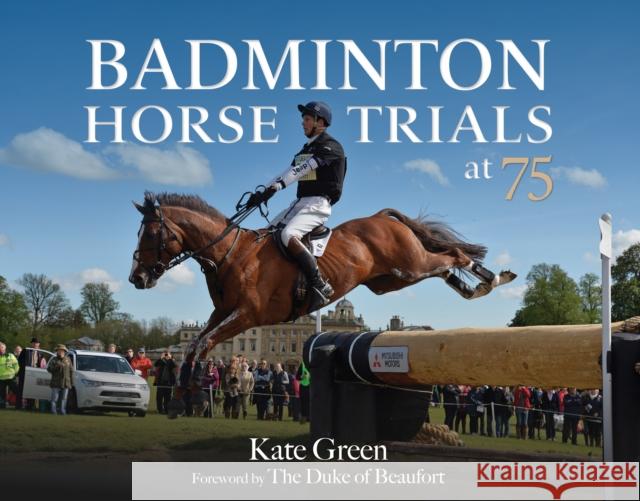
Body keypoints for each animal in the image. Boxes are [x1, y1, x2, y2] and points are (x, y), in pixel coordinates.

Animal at [128, 192, 516, 416]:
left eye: (151, 233)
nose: (137, 278)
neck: (232, 254)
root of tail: (380, 217)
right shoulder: (223, 313)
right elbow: (195, 344)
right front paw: (184, 396)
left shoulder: (247, 315)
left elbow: (205, 344)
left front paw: (191, 397)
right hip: (391, 279)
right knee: (444, 265)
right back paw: (478, 287)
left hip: (408, 264)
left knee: (451, 255)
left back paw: (492, 278)